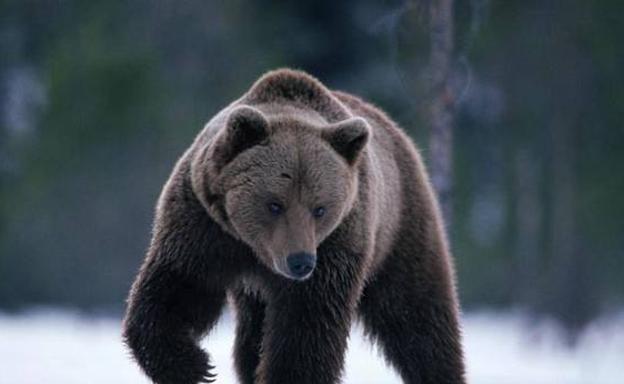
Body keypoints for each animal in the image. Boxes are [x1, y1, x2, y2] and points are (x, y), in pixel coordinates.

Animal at [123, 69, 464, 384]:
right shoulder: (204, 228)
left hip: (400, 229)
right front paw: (194, 365)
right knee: (251, 340)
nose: (300, 261)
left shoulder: (336, 246)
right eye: (275, 204)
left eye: (320, 209)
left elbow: (306, 330)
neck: (255, 252)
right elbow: (178, 288)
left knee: (417, 318)